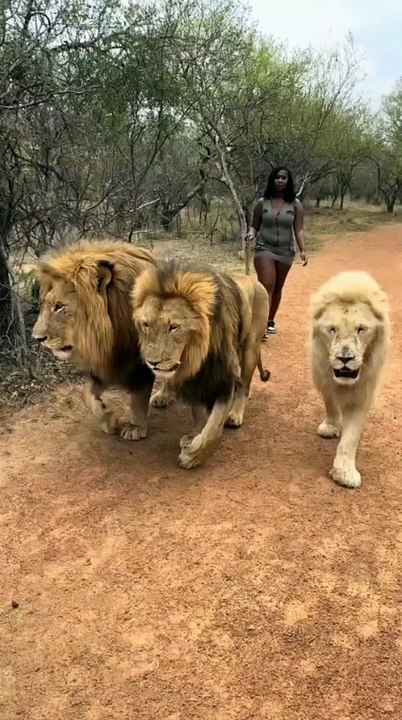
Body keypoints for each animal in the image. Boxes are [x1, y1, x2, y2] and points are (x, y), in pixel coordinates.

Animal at [32, 238, 160, 440]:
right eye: (46, 304)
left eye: (59, 306)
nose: (37, 338)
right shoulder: (105, 362)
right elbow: (85, 394)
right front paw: (108, 420)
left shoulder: (138, 363)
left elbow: (138, 398)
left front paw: (136, 427)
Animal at [131, 258, 270, 469]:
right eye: (146, 324)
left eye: (174, 327)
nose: (152, 362)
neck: (196, 354)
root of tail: (255, 281)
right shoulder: (195, 378)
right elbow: (199, 414)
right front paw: (194, 434)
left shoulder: (224, 378)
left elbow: (213, 428)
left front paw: (193, 456)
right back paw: (163, 395)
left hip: (250, 348)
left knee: (245, 385)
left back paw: (235, 414)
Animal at [309, 270, 390, 489]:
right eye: (332, 329)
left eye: (361, 329)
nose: (345, 358)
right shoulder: (324, 377)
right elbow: (330, 403)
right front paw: (331, 426)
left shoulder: (363, 392)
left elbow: (351, 436)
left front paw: (344, 472)